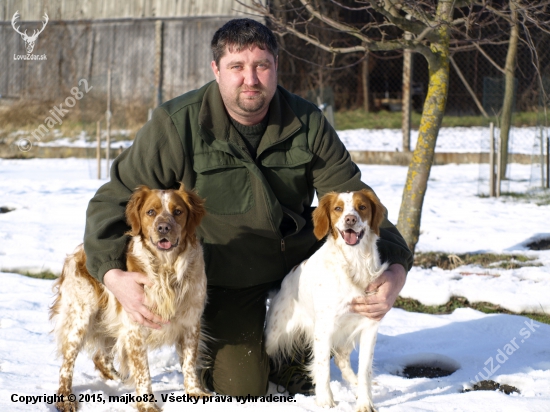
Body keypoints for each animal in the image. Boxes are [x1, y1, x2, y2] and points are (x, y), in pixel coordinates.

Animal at [266, 190, 388, 412]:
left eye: (362, 207)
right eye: (338, 208)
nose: (350, 219)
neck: (354, 263)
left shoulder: (368, 326)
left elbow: (365, 370)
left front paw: (365, 402)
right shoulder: (324, 328)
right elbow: (322, 366)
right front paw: (325, 401)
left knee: (341, 359)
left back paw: (354, 383)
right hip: (274, 334)